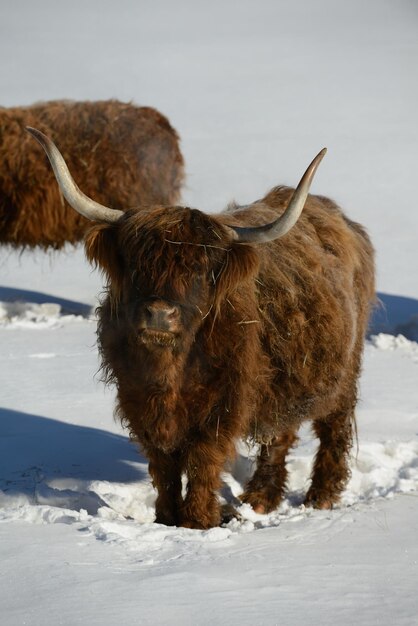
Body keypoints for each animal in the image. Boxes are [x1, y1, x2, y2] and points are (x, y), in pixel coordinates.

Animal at [28, 127, 376, 528]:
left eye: (199, 270)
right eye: (137, 264)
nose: (159, 314)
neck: (170, 372)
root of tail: (340, 218)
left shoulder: (222, 406)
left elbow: (202, 460)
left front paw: (197, 521)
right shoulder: (139, 402)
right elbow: (163, 465)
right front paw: (166, 518)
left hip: (344, 371)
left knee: (332, 427)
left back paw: (321, 497)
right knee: (279, 433)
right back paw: (261, 498)